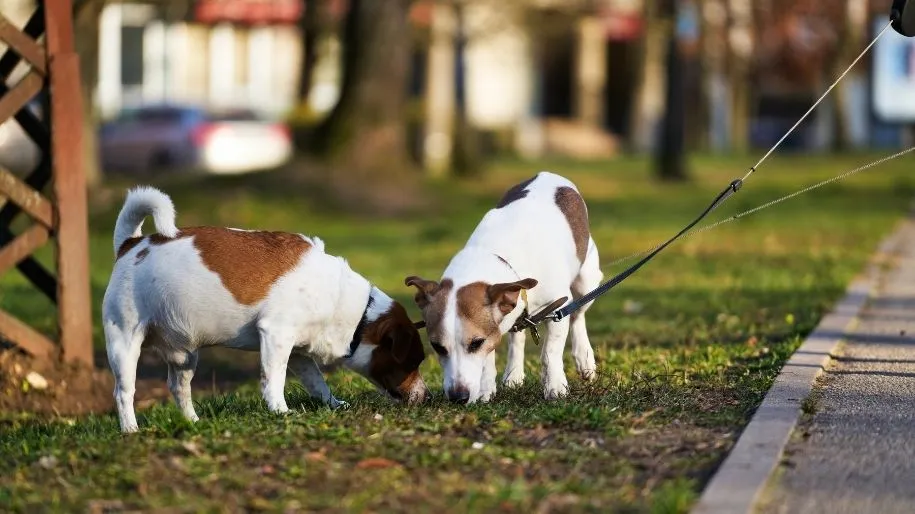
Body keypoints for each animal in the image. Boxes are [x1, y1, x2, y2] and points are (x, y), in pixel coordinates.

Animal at [100, 186, 430, 430]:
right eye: (413, 361)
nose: (426, 397)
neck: (356, 310)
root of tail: (131, 245)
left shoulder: (298, 352)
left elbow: (317, 383)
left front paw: (333, 404)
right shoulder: (276, 336)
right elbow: (274, 380)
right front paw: (280, 411)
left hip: (184, 356)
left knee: (178, 388)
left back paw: (193, 421)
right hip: (124, 343)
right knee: (123, 392)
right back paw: (131, 430)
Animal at [406, 172, 604, 404]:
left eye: (476, 343)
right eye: (437, 346)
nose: (458, 397)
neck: (499, 256)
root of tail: (548, 173)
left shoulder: (558, 306)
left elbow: (550, 352)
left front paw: (556, 386)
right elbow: (491, 358)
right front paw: (485, 390)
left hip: (586, 280)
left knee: (578, 315)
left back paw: (584, 357)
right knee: (518, 334)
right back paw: (513, 374)